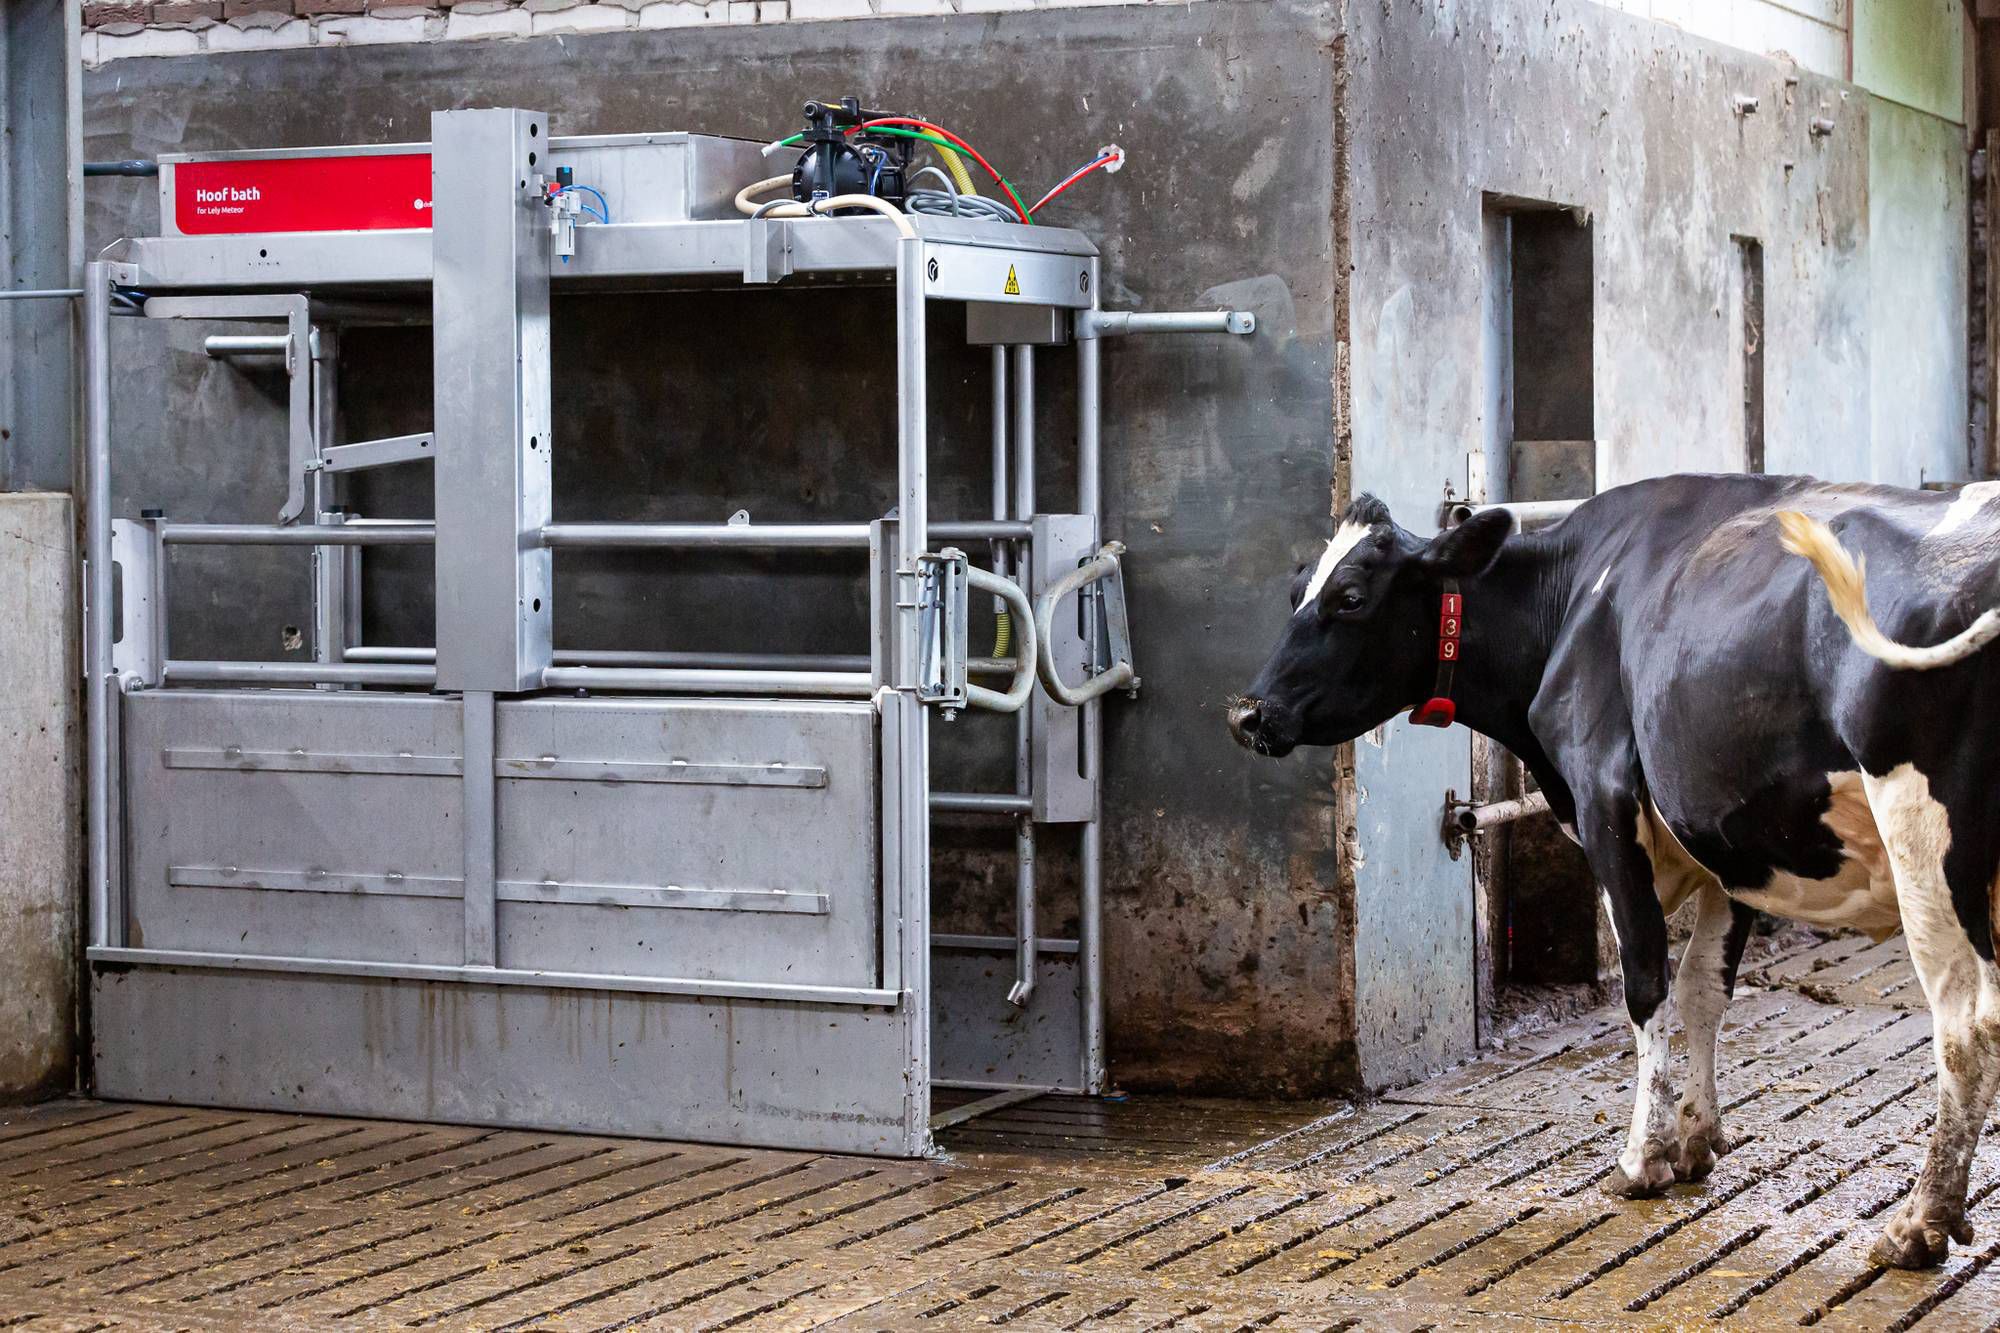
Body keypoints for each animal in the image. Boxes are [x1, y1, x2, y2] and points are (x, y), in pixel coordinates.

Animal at [1224, 474, 2000, 1264]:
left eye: (1350, 596)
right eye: (1297, 588)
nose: (1249, 714)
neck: (1571, 598)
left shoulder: (1605, 798)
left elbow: (1646, 981)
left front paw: (1641, 1157)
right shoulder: (1729, 833)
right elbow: (1703, 988)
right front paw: (1697, 1138)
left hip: (1924, 833)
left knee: (1966, 1023)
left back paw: (1921, 1221)